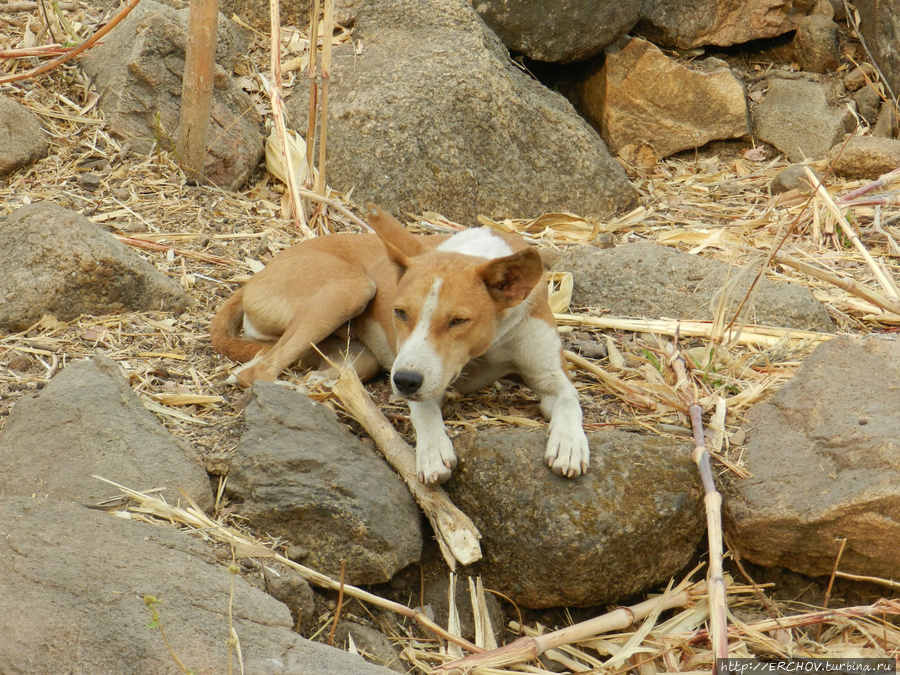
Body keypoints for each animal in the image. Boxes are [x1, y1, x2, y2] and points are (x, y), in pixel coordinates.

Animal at [210, 203, 592, 484]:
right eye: (399, 312)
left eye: (458, 321)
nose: (404, 382)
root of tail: (255, 277)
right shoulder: (422, 374)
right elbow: (424, 410)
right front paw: (433, 451)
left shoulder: (550, 375)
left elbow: (570, 400)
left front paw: (570, 443)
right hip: (350, 289)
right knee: (255, 371)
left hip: (357, 351)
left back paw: (318, 389)